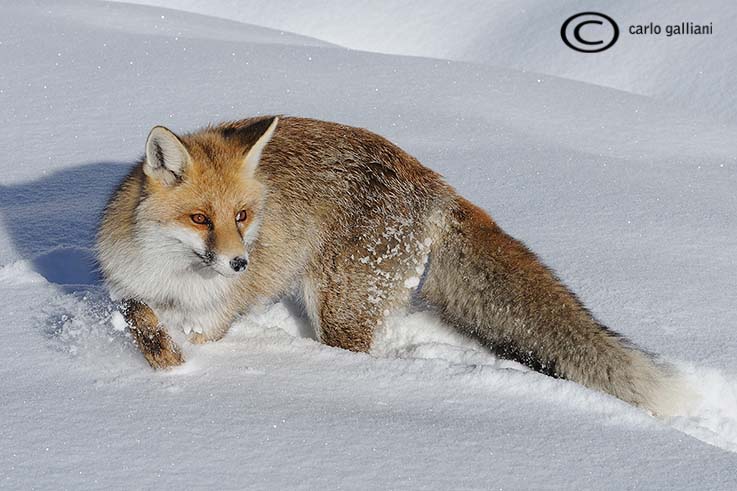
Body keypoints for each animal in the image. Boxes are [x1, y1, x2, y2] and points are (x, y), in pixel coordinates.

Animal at [95, 115, 688, 416]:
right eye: (200, 218)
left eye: (242, 216)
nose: (241, 263)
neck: (175, 278)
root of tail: (439, 186)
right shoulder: (126, 284)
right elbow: (138, 317)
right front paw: (161, 356)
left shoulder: (216, 316)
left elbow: (193, 336)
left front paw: (177, 369)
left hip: (339, 311)